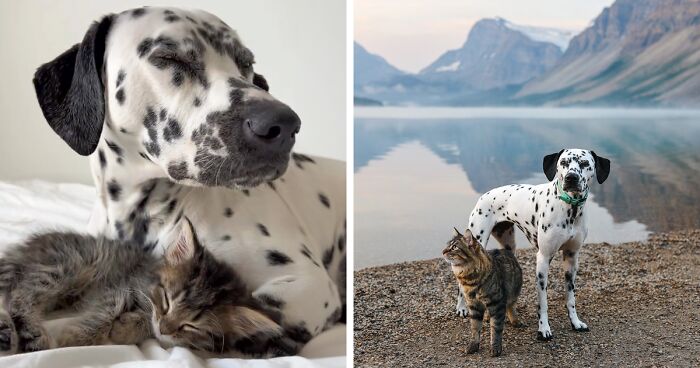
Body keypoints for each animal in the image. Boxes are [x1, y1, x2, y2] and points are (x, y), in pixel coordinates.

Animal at [0, 218, 298, 356]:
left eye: (191, 326)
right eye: (166, 300)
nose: (165, 327)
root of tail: (25, 248)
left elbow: (146, 327)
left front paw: (125, 328)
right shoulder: (119, 287)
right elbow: (103, 314)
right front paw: (74, 338)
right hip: (70, 264)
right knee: (21, 294)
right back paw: (32, 333)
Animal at [440, 227, 524, 356]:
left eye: (454, 247)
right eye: (448, 245)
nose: (443, 251)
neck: (469, 280)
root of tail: (505, 250)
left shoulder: (497, 303)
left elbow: (496, 328)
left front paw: (495, 348)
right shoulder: (474, 305)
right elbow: (475, 328)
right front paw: (473, 346)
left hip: (513, 292)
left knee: (510, 305)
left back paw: (514, 320)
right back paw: (487, 317)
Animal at [456, 148, 608, 340]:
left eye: (585, 163)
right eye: (563, 163)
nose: (571, 177)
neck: (570, 208)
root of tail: (484, 195)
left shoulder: (572, 258)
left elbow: (570, 297)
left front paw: (575, 322)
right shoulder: (543, 259)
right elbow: (543, 303)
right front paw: (543, 329)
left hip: (508, 245)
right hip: (478, 238)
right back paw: (461, 307)